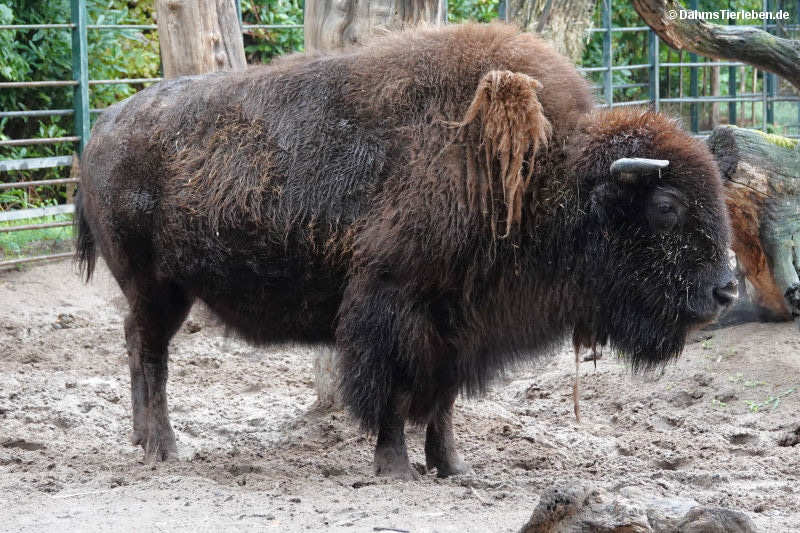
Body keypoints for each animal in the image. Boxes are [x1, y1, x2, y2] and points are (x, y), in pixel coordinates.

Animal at [75, 23, 736, 480]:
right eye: (667, 206)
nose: (725, 290)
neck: (546, 176)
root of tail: (106, 123)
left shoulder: (459, 328)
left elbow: (442, 404)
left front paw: (454, 468)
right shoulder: (394, 310)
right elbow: (391, 395)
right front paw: (394, 468)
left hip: (169, 291)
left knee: (142, 347)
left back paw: (149, 443)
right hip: (154, 286)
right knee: (148, 352)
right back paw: (163, 449)